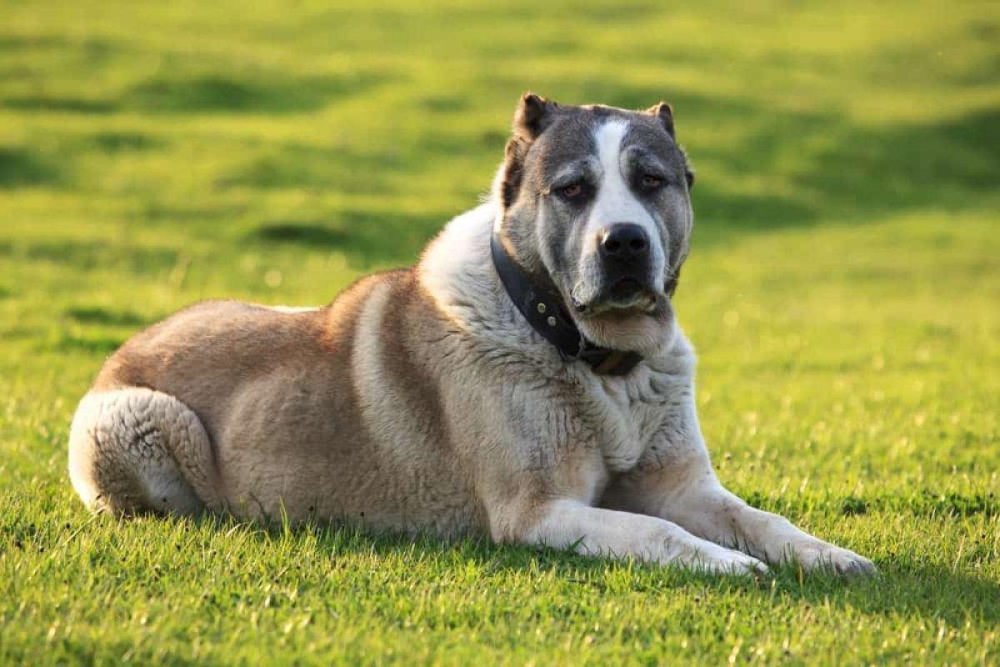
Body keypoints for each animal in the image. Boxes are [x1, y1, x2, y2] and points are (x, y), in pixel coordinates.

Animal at [68, 92, 876, 576]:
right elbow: (660, 533)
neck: (597, 358)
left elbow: (760, 516)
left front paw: (827, 554)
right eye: (573, 189)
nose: (624, 243)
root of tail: (124, 350)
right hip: (140, 419)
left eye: (653, 181)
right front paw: (730, 564)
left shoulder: (683, 485)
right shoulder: (538, 512)